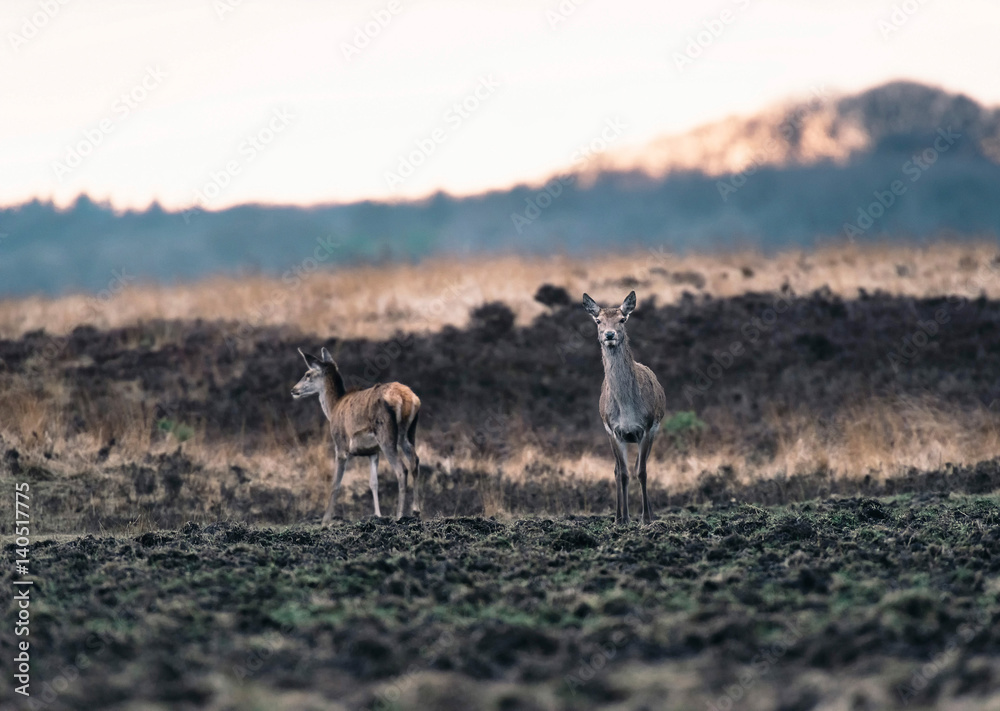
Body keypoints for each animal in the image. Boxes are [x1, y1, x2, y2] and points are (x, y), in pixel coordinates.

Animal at [291, 347, 421, 523]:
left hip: (386, 434)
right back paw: (416, 510)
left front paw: (326, 520)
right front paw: (377, 515)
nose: (293, 390)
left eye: (308, 374)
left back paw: (399, 515)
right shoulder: (373, 451)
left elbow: (335, 483)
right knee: (415, 461)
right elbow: (373, 482)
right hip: (408, 432)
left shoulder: (340, 445)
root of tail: (407, 398)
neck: (333, 408)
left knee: (402, 469)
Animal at [582, 291, 666, 525]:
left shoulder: (646, 427)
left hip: (652, 432)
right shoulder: (613, 430)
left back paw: (650, 513)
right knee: (617, 470)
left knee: (641, 466)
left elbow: (642, 471)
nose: (609, 334)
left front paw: (646, 518)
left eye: (622, 319)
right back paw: (619, 515)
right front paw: (623, 518)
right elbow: (623, 473)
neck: (628, 409)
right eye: (598, 320)